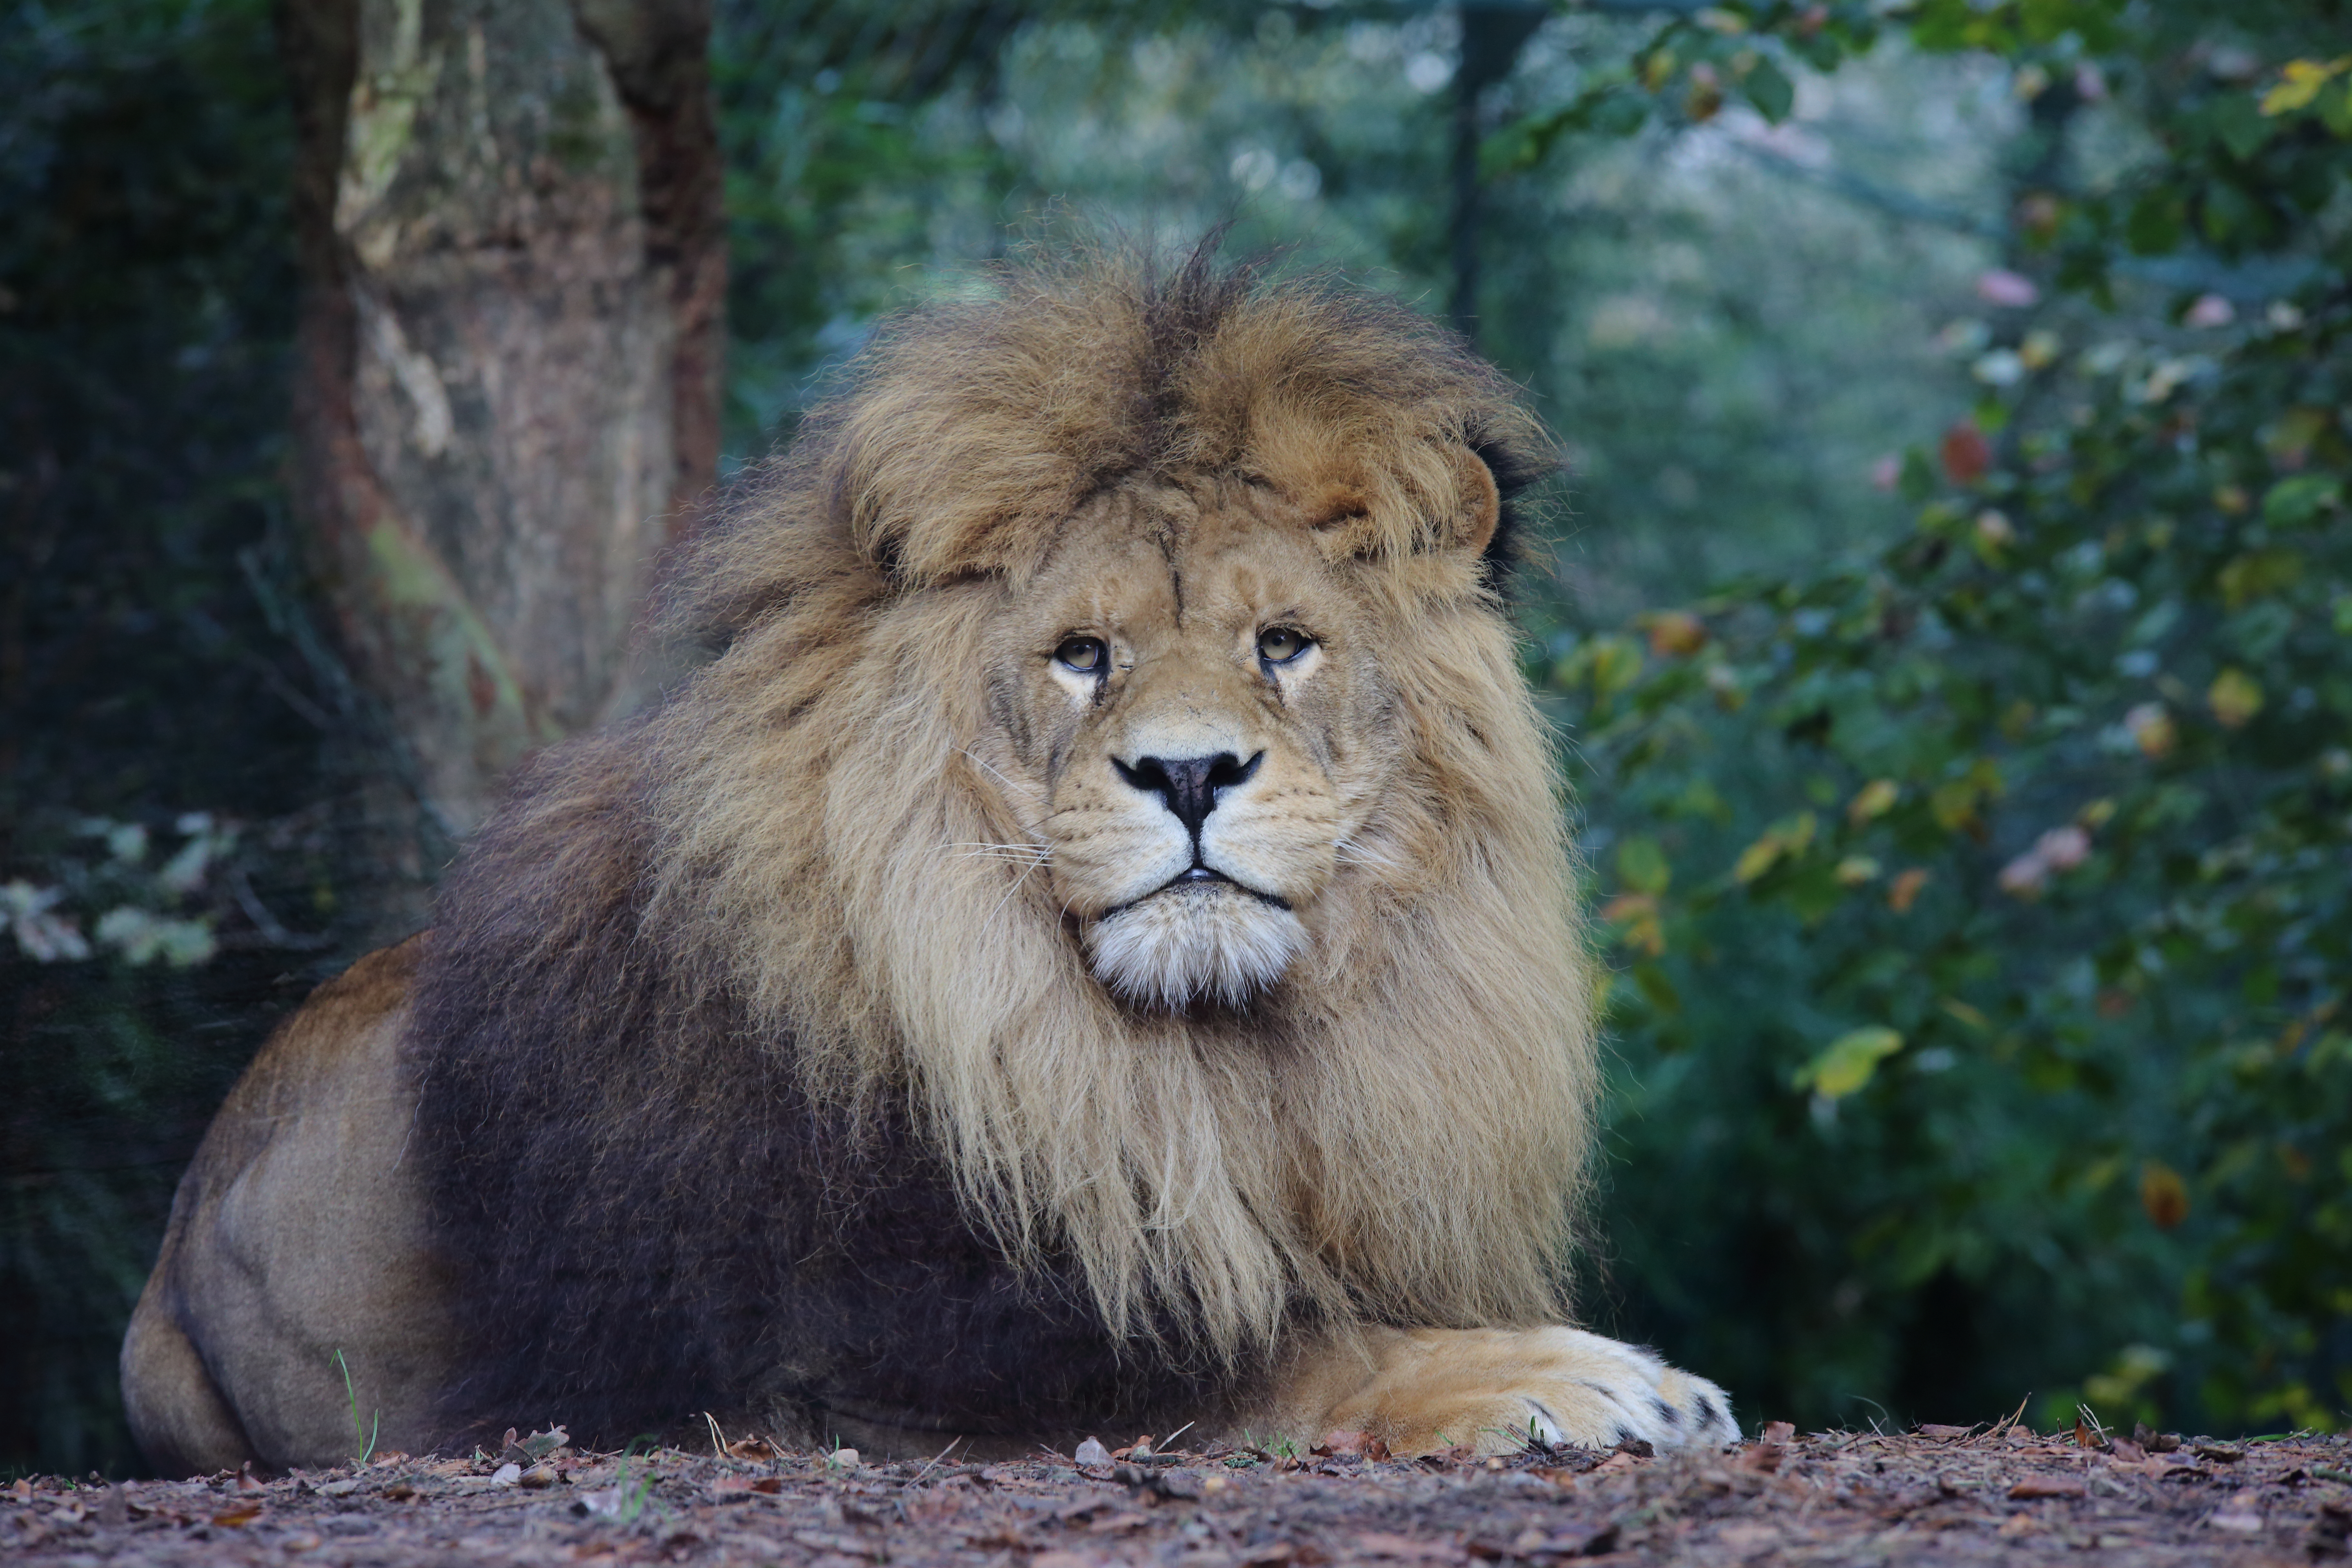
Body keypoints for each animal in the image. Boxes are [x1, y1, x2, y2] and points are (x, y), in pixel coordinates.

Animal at [120, 246, 1738, 1475]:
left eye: (1284, 644)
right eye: (1082, 655)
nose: (1190, 772)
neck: (1185, 1069)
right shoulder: (851, 1363)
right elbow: (1280, 1358)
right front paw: (1580, 1377)